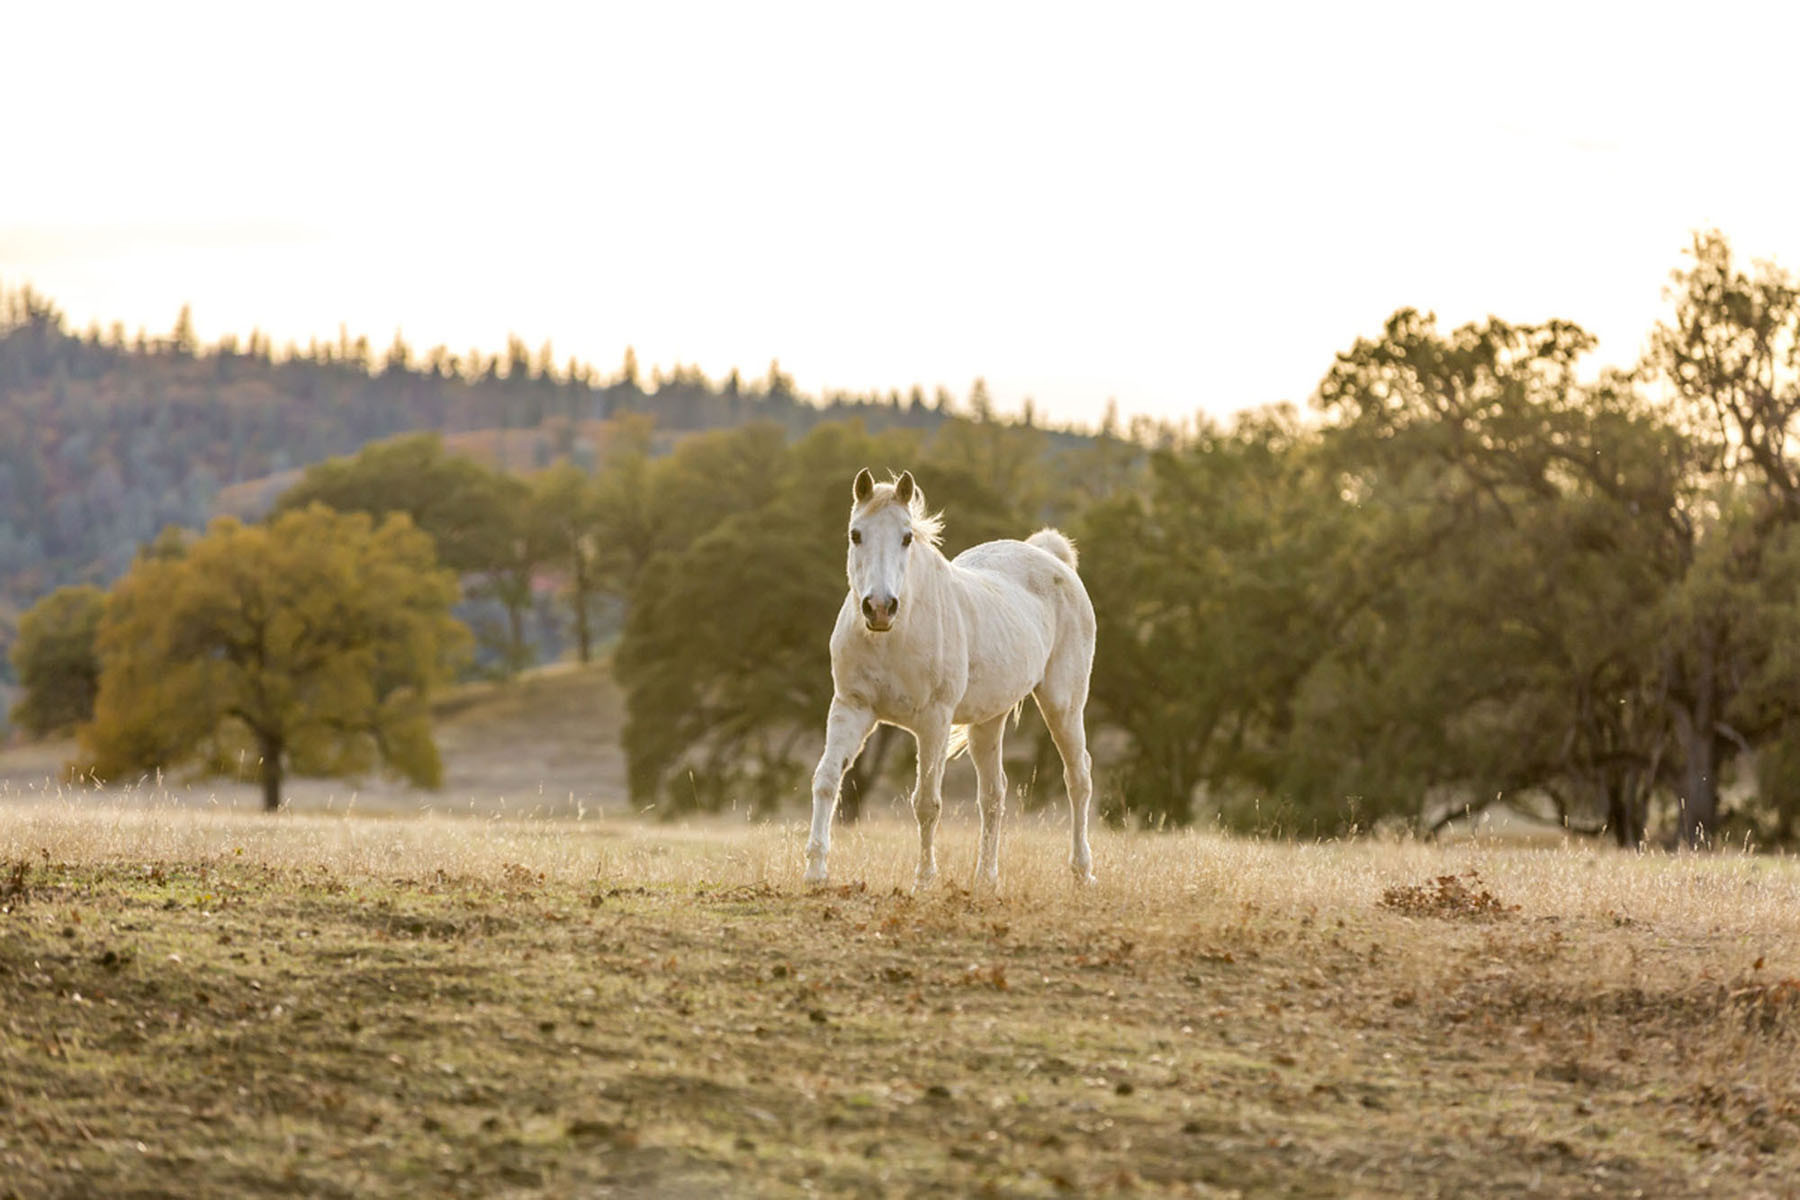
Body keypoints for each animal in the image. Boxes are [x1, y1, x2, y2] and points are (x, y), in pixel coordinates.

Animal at [806, 467, 1094, 892]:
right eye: (855, 534)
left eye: (907, 536)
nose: (879, 607)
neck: (894, 634)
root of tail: (1052, 559)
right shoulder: (852, 707)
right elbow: (827, 779)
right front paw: (815, 872)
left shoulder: (934, 721)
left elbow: (927, 802)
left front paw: (923, 882)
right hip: (988, 721)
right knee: (993, 795)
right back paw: (986, 879)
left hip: (1064, 705)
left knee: (1078, 778)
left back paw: (1082, 872)